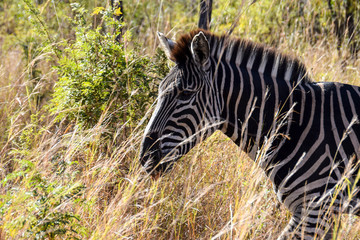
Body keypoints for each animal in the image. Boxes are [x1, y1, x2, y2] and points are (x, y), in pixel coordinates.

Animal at [139, 30, 360, 240]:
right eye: (159, 90)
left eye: (185, 94)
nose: (145, 157)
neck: (295, 124)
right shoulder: (324, 211)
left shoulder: (317, 207)